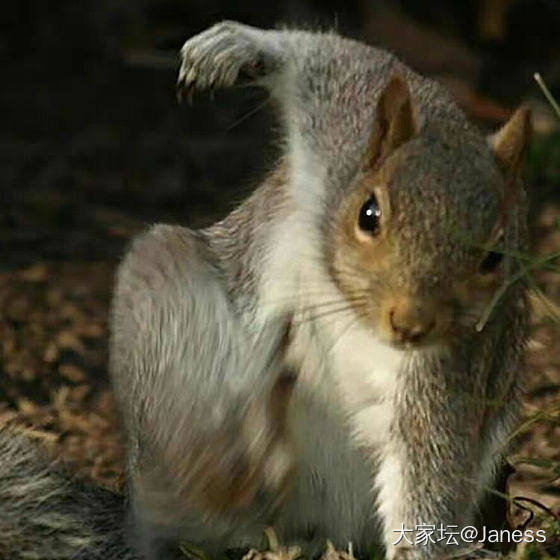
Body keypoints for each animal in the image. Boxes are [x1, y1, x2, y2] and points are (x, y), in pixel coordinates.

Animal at [0, 19, 528, 560]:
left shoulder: (447, 371)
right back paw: (226, 465)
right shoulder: (341, 127)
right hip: (164, 302)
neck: (354, 312)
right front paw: (234, 48)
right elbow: (340, 60)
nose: (410, 323)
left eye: (494, 257)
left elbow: (429, 470)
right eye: (369, 214)